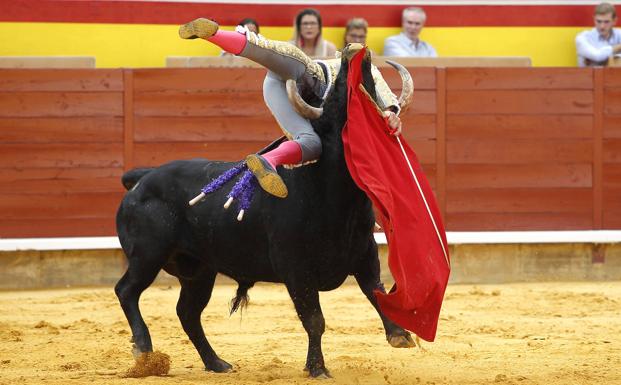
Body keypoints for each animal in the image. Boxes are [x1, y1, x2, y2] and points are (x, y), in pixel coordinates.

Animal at [116, 49, 414, 376]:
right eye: (336, 94)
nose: (353, 52)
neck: (332, 194)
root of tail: (143, 178)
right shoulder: (296, 270)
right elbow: (315, 320)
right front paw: (317, 368)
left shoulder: (365, 255)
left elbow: (377, 292)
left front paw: (399, 334)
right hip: (148, 255)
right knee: (127, 291)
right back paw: (144, 348)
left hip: (200, 270)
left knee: (187, 312)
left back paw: (216, 363)